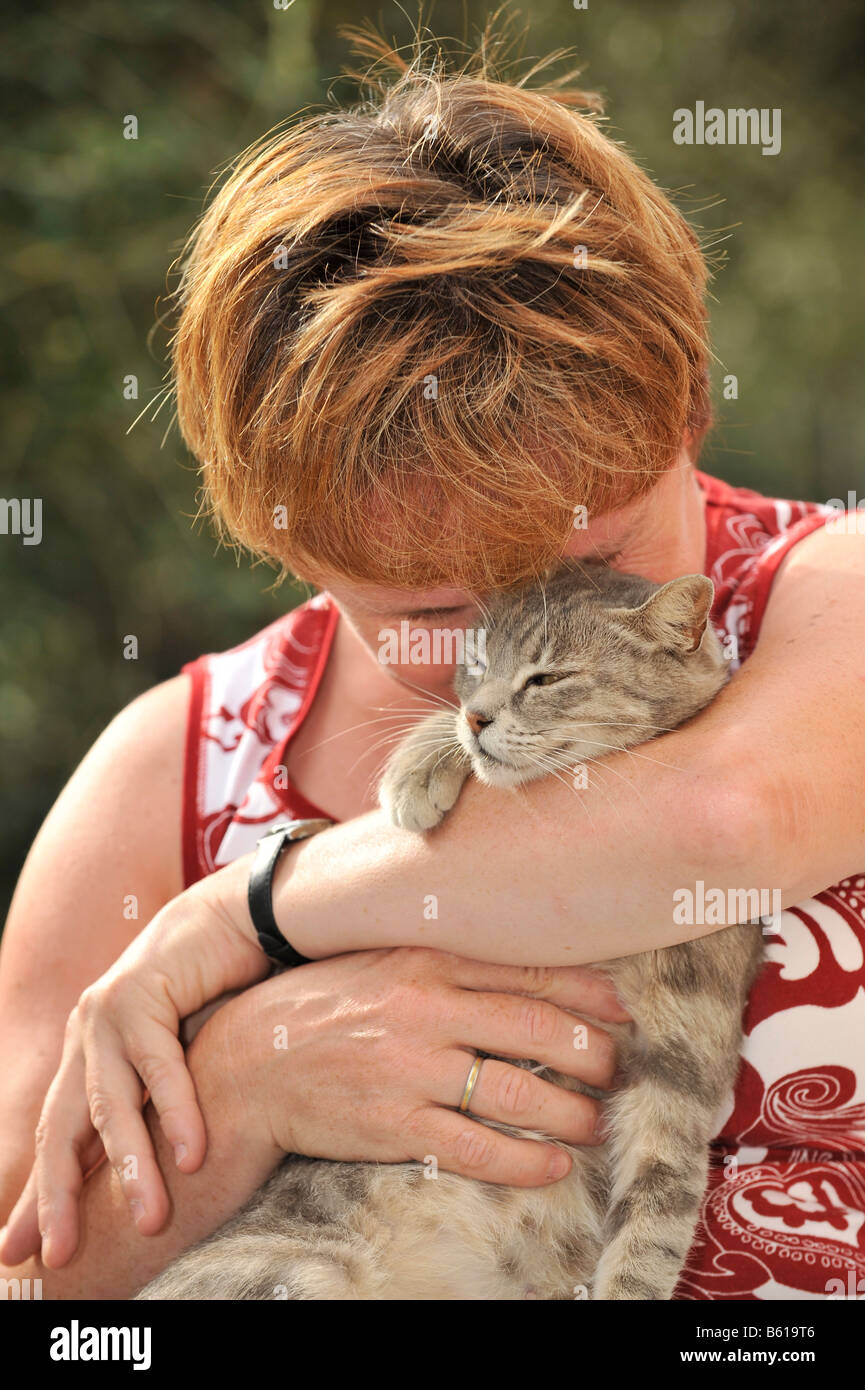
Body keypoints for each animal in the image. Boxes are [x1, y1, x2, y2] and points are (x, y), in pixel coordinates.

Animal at [136, 558, 767, 1295]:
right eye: (476, 662)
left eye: (546, 678)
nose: (476, 713)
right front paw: (423, 759)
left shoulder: (680, 1060)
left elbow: (652, 1229)